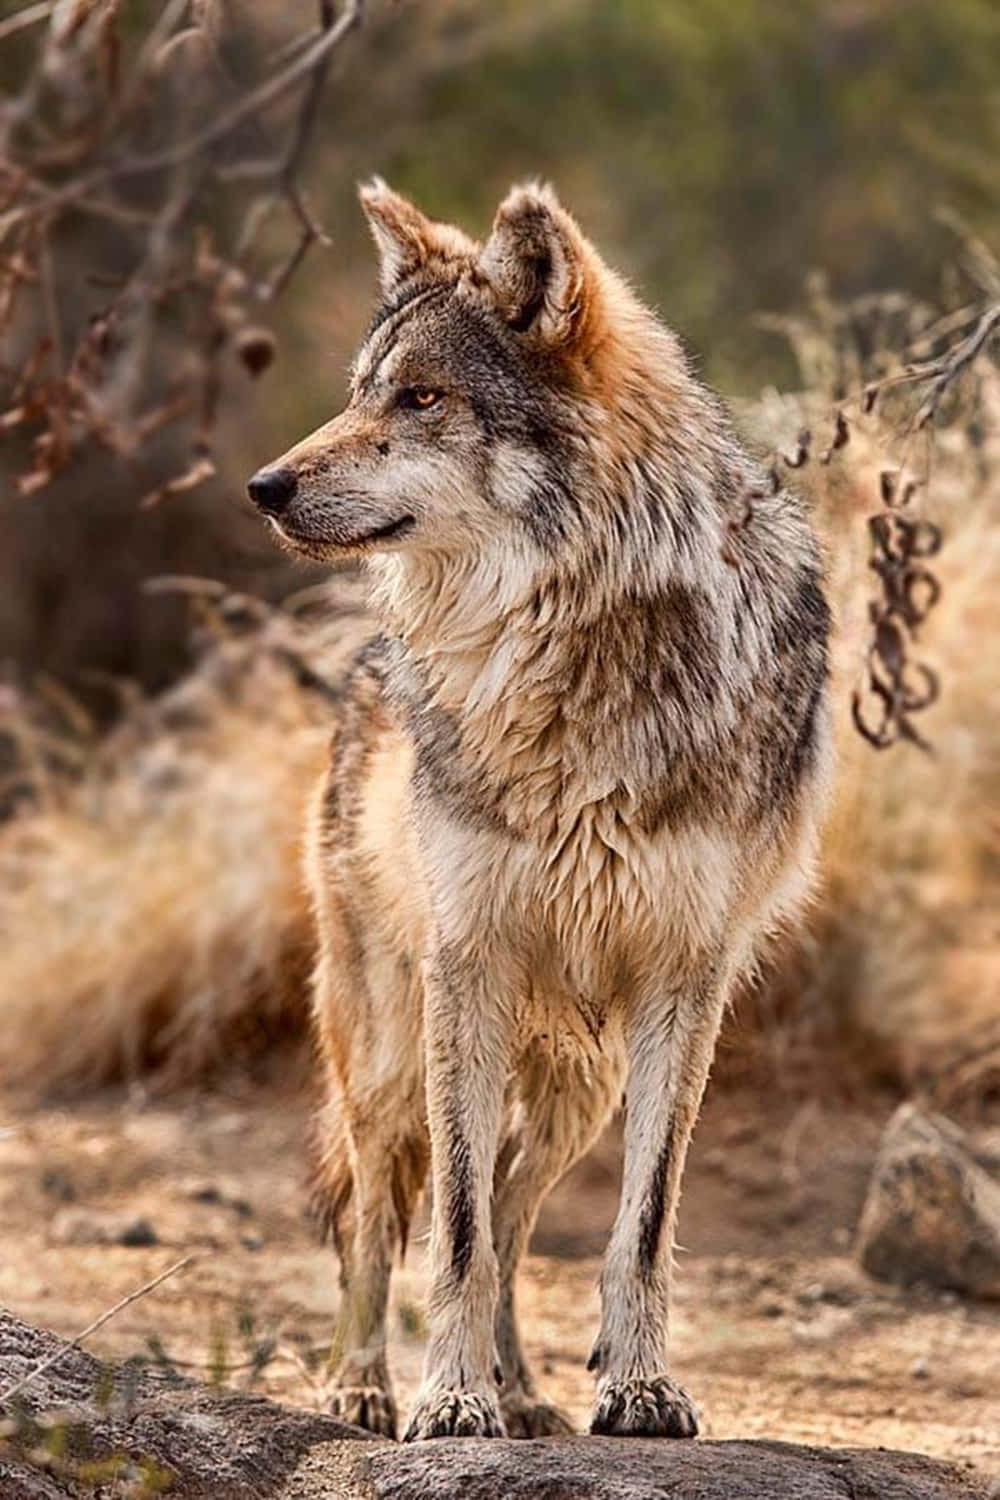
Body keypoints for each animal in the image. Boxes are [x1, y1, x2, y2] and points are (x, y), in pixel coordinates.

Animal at [247, 180, 832, 1442]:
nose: (264, 486)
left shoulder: (685, 978)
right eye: (360, 392)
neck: (570, 636)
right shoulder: (467, 961)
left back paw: (522, 1392)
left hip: (582, 1077)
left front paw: (636, 1387)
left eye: (421, 398)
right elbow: (453, 1230)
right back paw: (364, 1385)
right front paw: (446, 1401)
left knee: (517, 1202)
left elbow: (636, 1225)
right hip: (388, 1049)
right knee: (381, 1215)